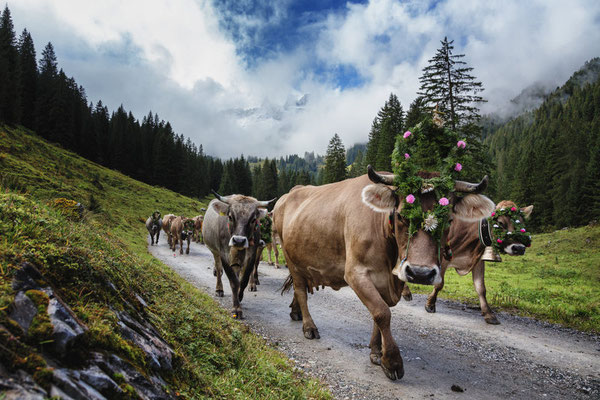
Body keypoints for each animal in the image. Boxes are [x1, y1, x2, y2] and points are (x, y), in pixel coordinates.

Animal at [204, 192, 274, 320]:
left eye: (253, 219)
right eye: (230, 216)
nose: (239, 240)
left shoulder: (251, 255)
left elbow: (243, 280)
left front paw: (239, 297)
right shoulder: (224, 254)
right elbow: (233, 281)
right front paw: (236, 309)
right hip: (215, 251)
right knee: (219, 269)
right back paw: (219, 289)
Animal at [274, 166, 490, 382]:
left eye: (449, 220)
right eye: (401, 216)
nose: (420, 273)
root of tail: (289, 194)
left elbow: (378, 313)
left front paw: (377, 351)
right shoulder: (355, 273)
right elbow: (381, 313)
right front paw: (392, 361)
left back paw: (296, 312)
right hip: (290, 257)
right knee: (300, 290)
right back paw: (309, 327)